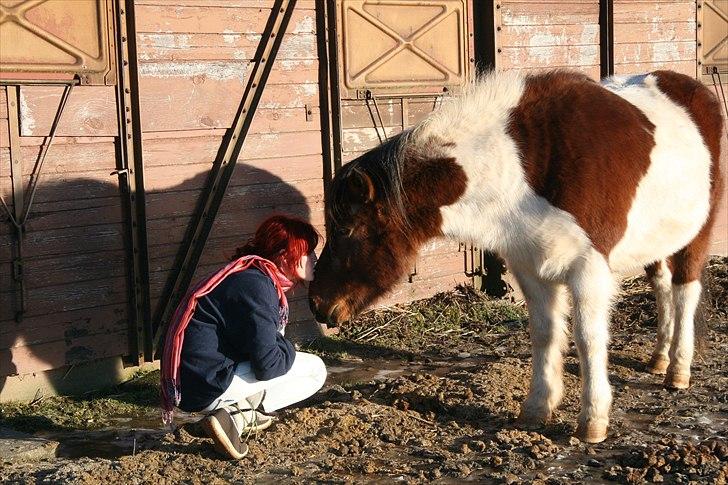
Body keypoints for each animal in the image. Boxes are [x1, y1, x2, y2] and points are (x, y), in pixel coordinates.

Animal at [308, 69, 724, 442]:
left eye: (347, 230)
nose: (317, 304)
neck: (525, 168)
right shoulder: (530, 266)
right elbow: (544, 333)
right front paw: (538, 407)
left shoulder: (588, 269)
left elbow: (589, 338)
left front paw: (593, 421)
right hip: (658, 242)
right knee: (662, 287)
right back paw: (659, 359)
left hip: (698, 234)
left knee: (685, 291)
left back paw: (678, 370)